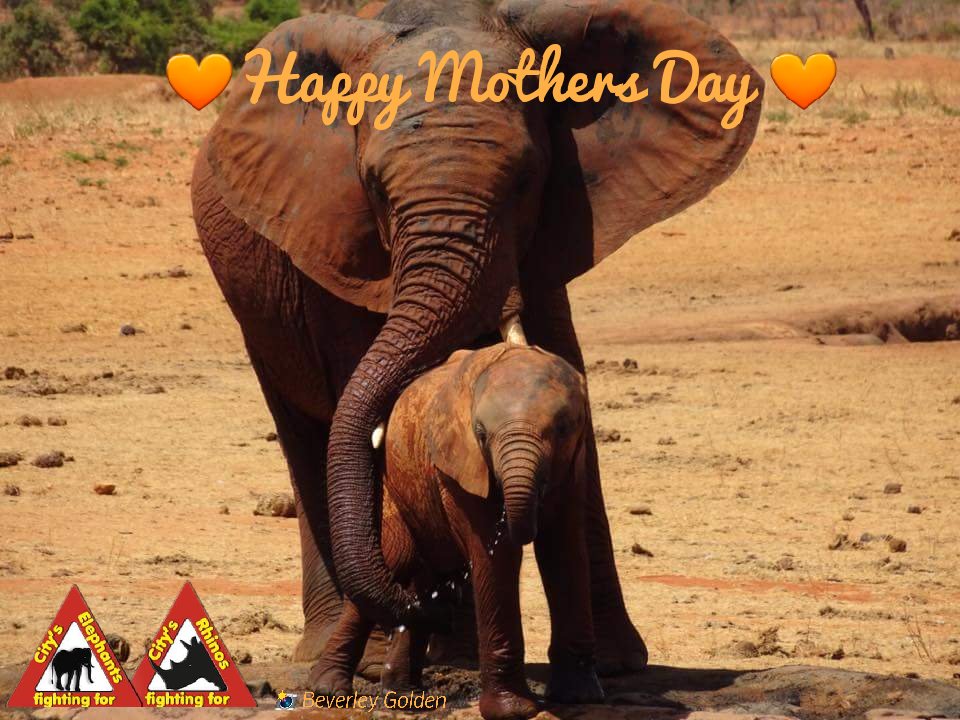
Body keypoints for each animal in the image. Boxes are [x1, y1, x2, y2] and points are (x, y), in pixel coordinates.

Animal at [191, 0, 762, 676]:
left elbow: (564, 374)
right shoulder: (335, 245)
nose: (426, 602)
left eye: (525, 181)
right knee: (305, 434)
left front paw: (614, 666)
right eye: (373, 187)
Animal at [310, 343, 599, 718]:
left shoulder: (574, 463)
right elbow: (495, 555)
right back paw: (328, 690)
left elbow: (563, 549)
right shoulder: (460, 464)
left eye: (564, 429)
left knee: (425, 576)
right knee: (398, 561)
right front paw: (514, 711)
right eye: (480, 433)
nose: (447, 617)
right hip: (395, 488)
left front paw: (580, 697)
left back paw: (404, 696)